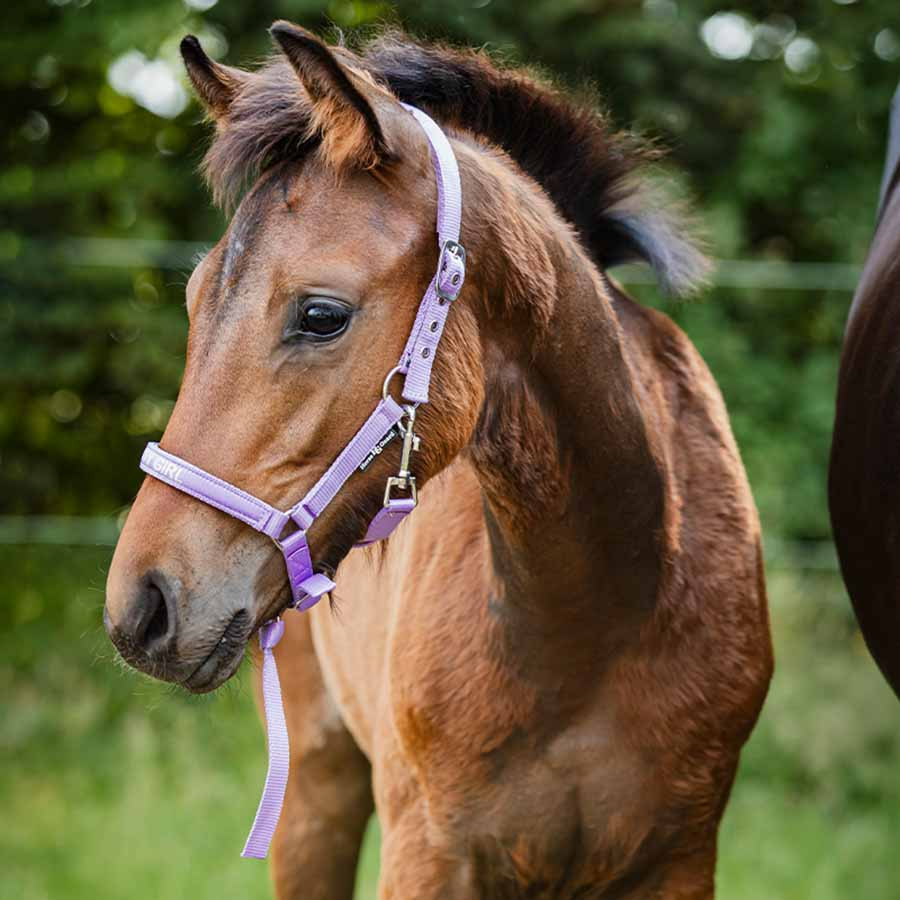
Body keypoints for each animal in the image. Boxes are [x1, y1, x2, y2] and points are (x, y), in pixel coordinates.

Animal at [104, 24, 773, 898]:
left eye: (321, 315)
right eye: (191, 302)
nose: (139, 607)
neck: (594, 624)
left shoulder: (679, 862)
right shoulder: (427, 855)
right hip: (315, 794)